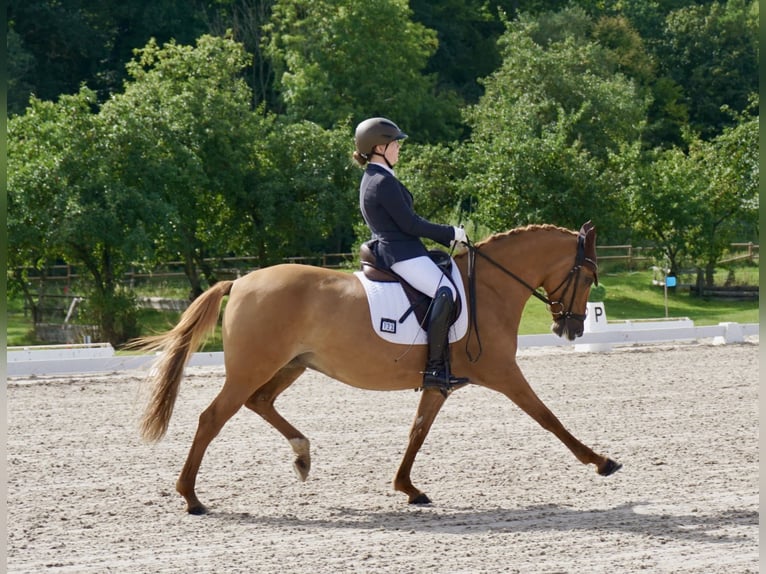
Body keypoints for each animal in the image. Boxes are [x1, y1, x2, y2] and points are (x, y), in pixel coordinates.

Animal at [132, 221, 621, 514]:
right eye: (588, 276)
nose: (571, 327)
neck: (489, 288)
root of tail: (240, 281)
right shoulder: (504, 373)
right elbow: (548, 417)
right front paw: (601, 461)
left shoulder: (439, 383)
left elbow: (417, 431)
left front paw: (408, 488)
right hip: (253, 367)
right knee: (212, 417)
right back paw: (191, 497)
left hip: (290, 365)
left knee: (260, 402)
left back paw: (302, 455)